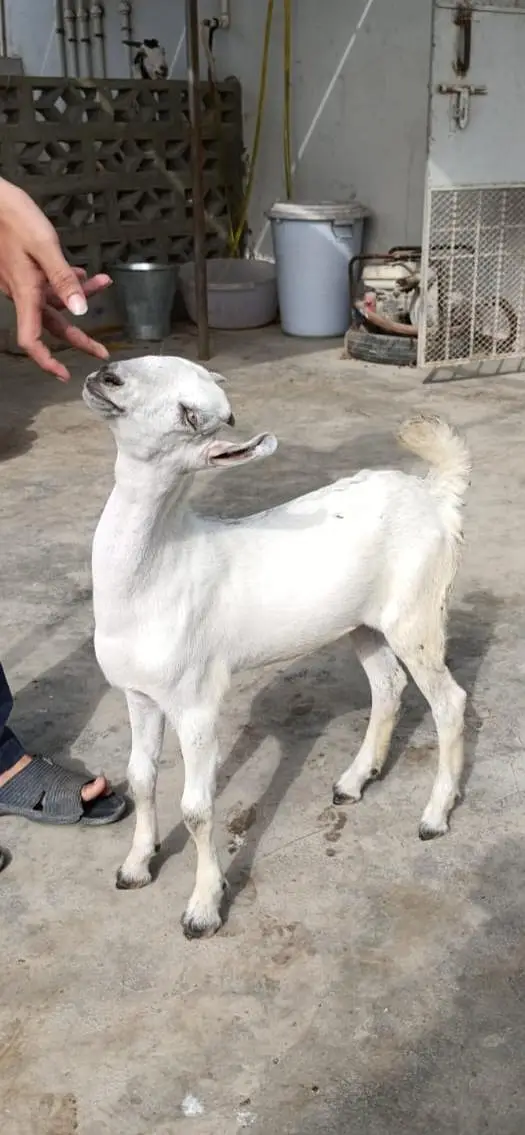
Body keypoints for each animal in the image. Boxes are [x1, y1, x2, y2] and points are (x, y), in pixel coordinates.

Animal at [83, 356, 470, 940]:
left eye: (192, 415)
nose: (106, 376)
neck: (161, 568)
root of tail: (434, 495)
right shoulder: (139, 692)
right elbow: (141, 778)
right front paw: (135, 866)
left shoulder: (196, 700)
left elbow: (196, 808)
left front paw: (203, 908)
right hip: (362, 622)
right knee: (388, 685)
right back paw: (355, 781)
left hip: (417, 612)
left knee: (449, 701)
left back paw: (434, 817)